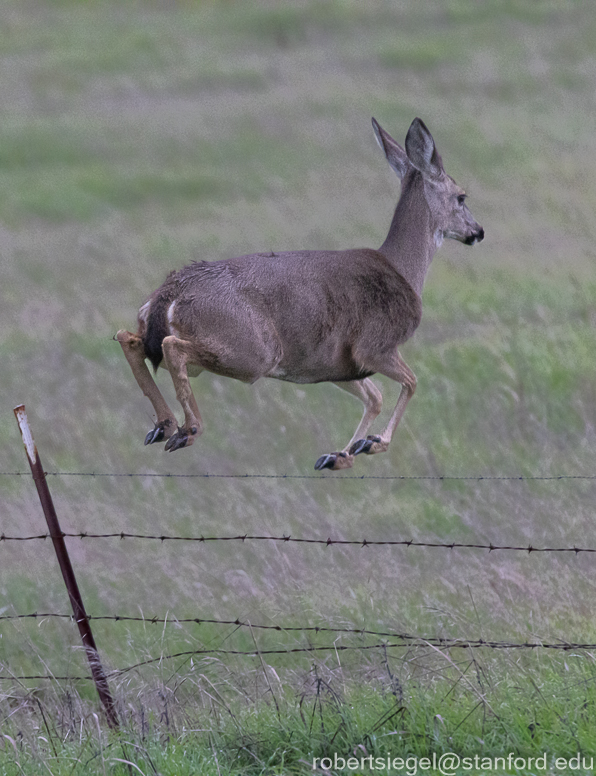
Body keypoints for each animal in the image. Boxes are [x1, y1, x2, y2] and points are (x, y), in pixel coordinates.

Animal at [116, 117, 484, 470]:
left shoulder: (336, 365)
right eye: (461, 196)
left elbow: (375, 396)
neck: (404, 269)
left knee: (129, 338)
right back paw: (187, 429)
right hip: (253, 351)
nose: (478, 231)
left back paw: (164, 426)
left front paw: (339, 456)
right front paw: (373, 443)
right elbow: (411, 382)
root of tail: (171, 291)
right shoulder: (374, 346)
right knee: (170, 346)